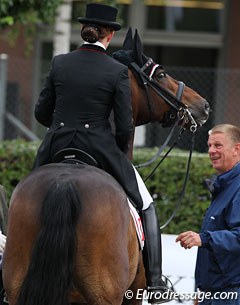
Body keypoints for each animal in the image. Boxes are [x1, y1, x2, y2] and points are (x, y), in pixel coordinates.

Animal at [1, 28, 209, 304]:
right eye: (161, 74)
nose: (203, 106)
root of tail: (64, 183)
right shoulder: (131, 294)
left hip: (18, 287)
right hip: (105, 294)